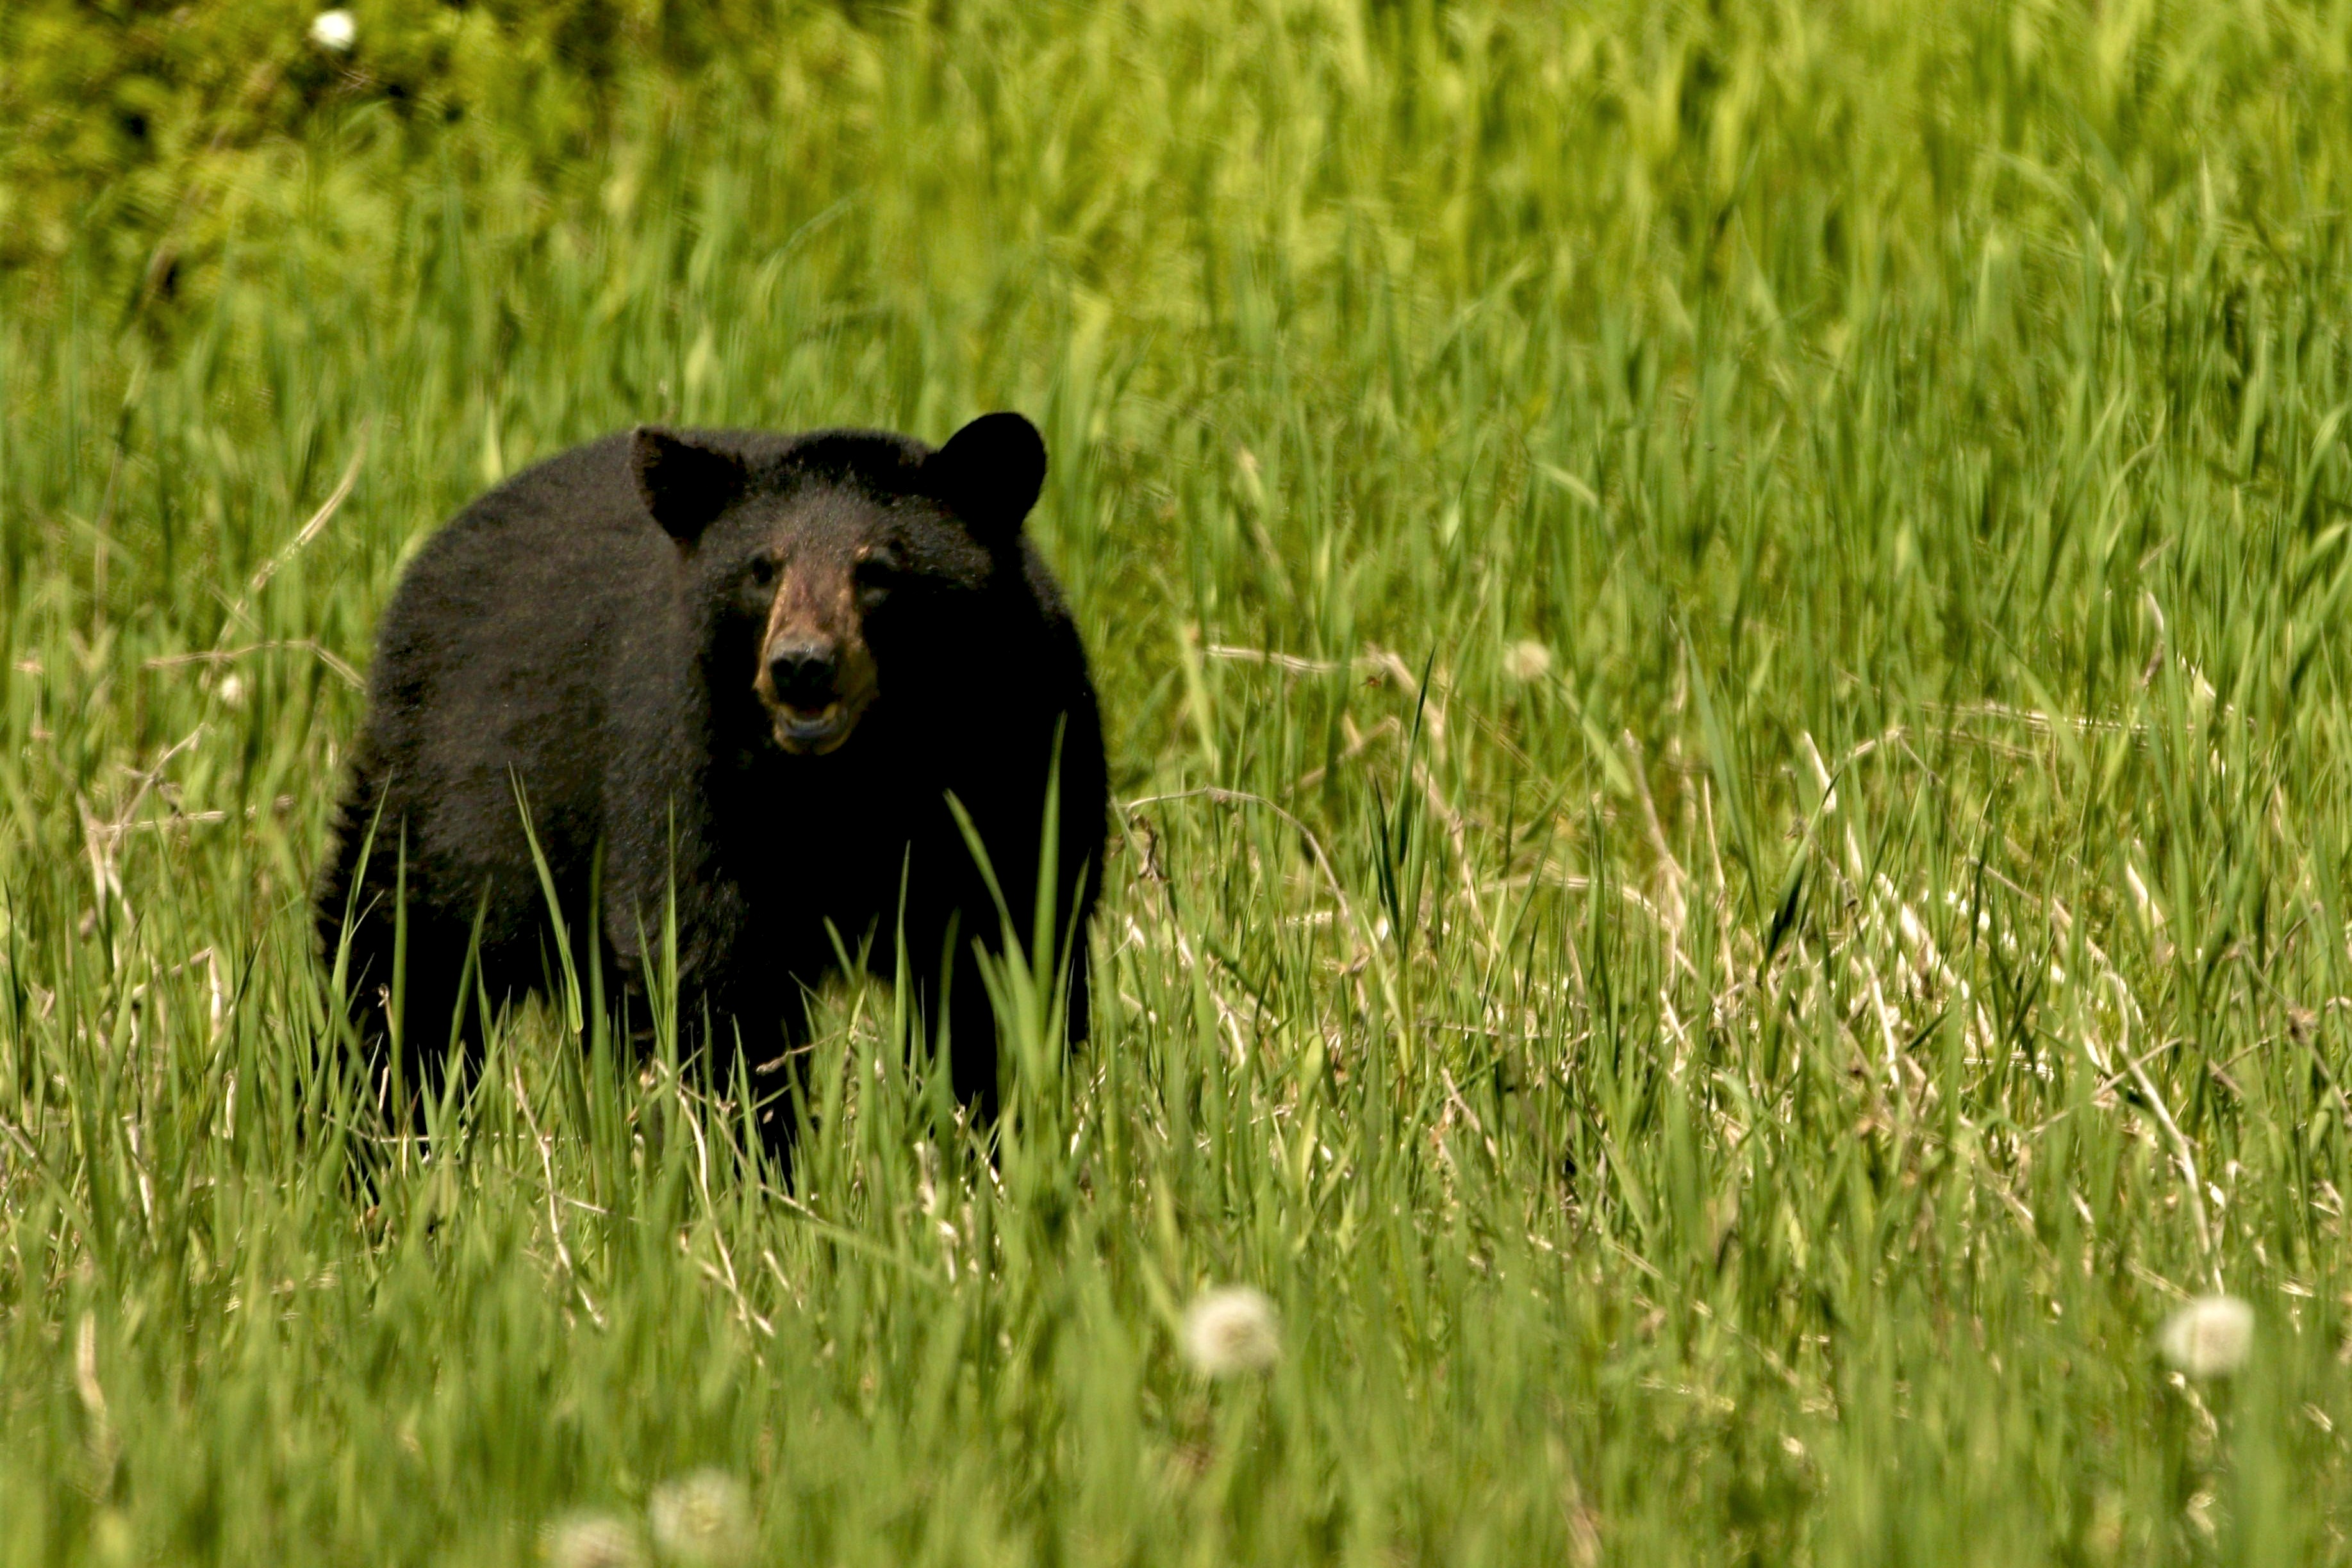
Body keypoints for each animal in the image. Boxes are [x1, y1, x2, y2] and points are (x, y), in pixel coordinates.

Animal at [313, 412, 1107, 1153]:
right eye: (764, 567)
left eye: (878, 568)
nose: (801, 665)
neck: (849, 780)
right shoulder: (693, 773)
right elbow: (710, 975)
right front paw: (753, 1159)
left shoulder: (1018, 764)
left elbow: (1001, 966)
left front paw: (984, 1144)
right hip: (455, 787)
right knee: (402, 959)